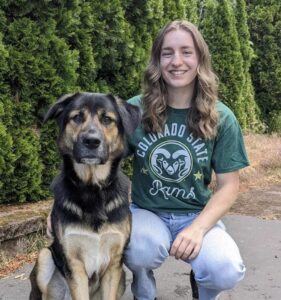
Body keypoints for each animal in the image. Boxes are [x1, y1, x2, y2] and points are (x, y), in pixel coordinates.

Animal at [29, 92, 140, 298]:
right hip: (44, 257)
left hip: (121, 279)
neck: (92, 189)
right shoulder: (75, 266)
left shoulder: (114, 265)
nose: (91, 141)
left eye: (107, 119)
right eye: (77, 117)